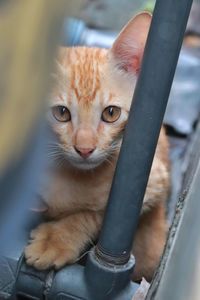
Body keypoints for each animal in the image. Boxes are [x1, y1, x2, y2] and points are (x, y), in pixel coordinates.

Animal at [24, 12, 170, 282]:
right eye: (61, 113)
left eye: (111, 113)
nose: (84, 149)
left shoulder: (150, 184)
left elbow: (96, 214)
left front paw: (57, 239)